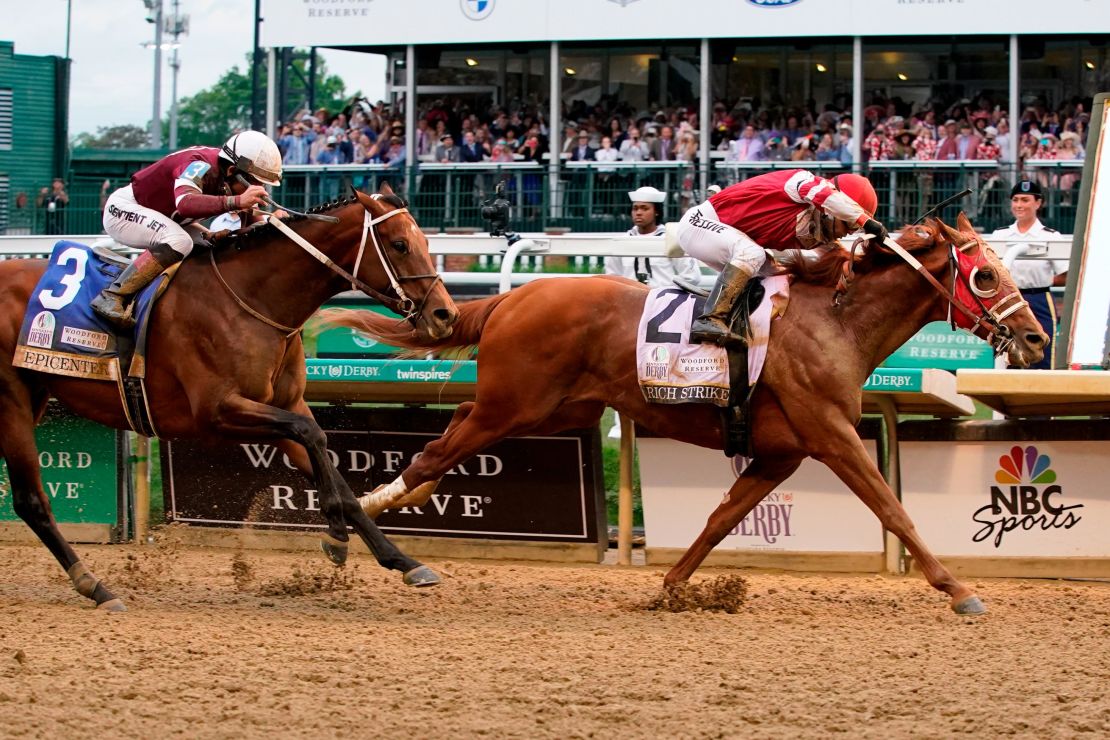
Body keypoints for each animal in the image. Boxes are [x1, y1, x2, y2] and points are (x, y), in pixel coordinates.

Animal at [0, 184, 455, 607]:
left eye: (425, 241)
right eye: (399, 244)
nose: (445, 314)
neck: (251, 299)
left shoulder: (281, 406)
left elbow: (331, 464)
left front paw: (401, 560)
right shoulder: (218, 412)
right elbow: (311, 434)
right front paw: (338, 535)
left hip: (33, 396)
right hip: (13, 403)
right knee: (31, 500)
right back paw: (96, 586)